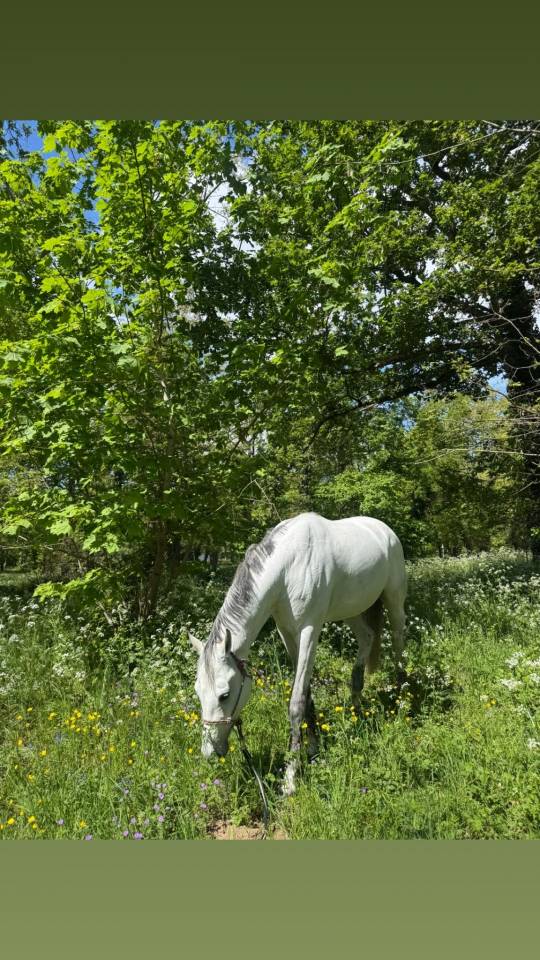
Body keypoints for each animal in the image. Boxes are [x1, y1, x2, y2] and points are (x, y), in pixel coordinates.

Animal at [188, 512, 407, 795]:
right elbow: (307, 694)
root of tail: (384, 530)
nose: (210, 752)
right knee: (367, 638)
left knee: (399, 643)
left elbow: (296, 702)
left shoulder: (309, 630)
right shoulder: (287, 633)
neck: (287, 567)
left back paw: (402, 700)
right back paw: (357, 710)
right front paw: (313, 751)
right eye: (198, 692)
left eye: (224, 695)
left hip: (394, 601)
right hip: (352, 610)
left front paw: (291, 778)